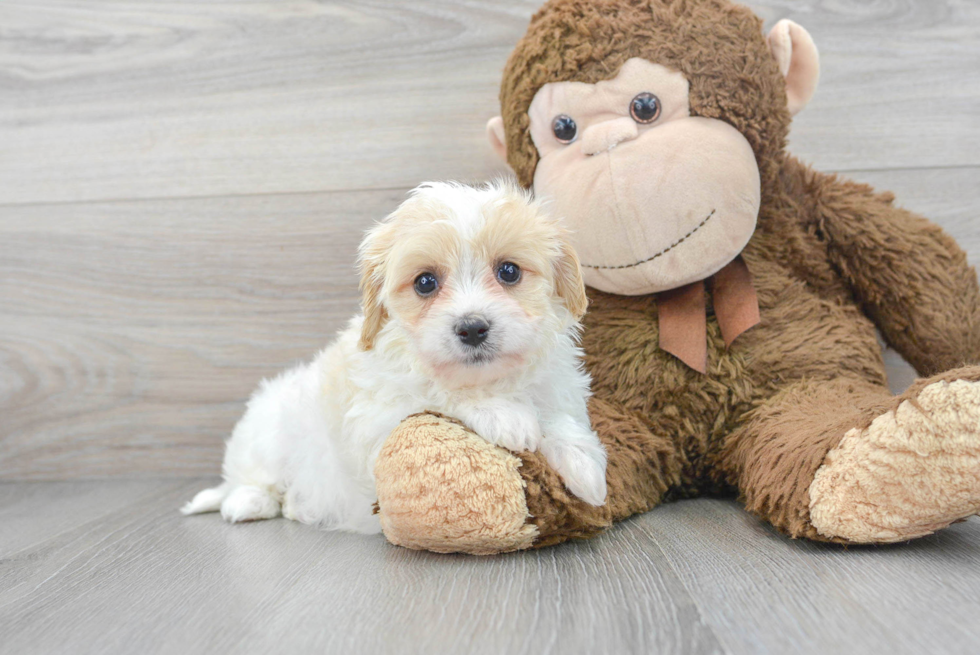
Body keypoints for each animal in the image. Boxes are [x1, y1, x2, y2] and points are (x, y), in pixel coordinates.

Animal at [178, 179, 604, 532]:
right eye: (425, 282)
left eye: (509, 272)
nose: (472, 328)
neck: (490, 379)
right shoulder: (377, 422)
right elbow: (434, 393)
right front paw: (504, 414)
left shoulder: (556, 387)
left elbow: (557, 417)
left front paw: (585, 466)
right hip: (265, 431)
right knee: (249, 477)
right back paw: (248, 502)